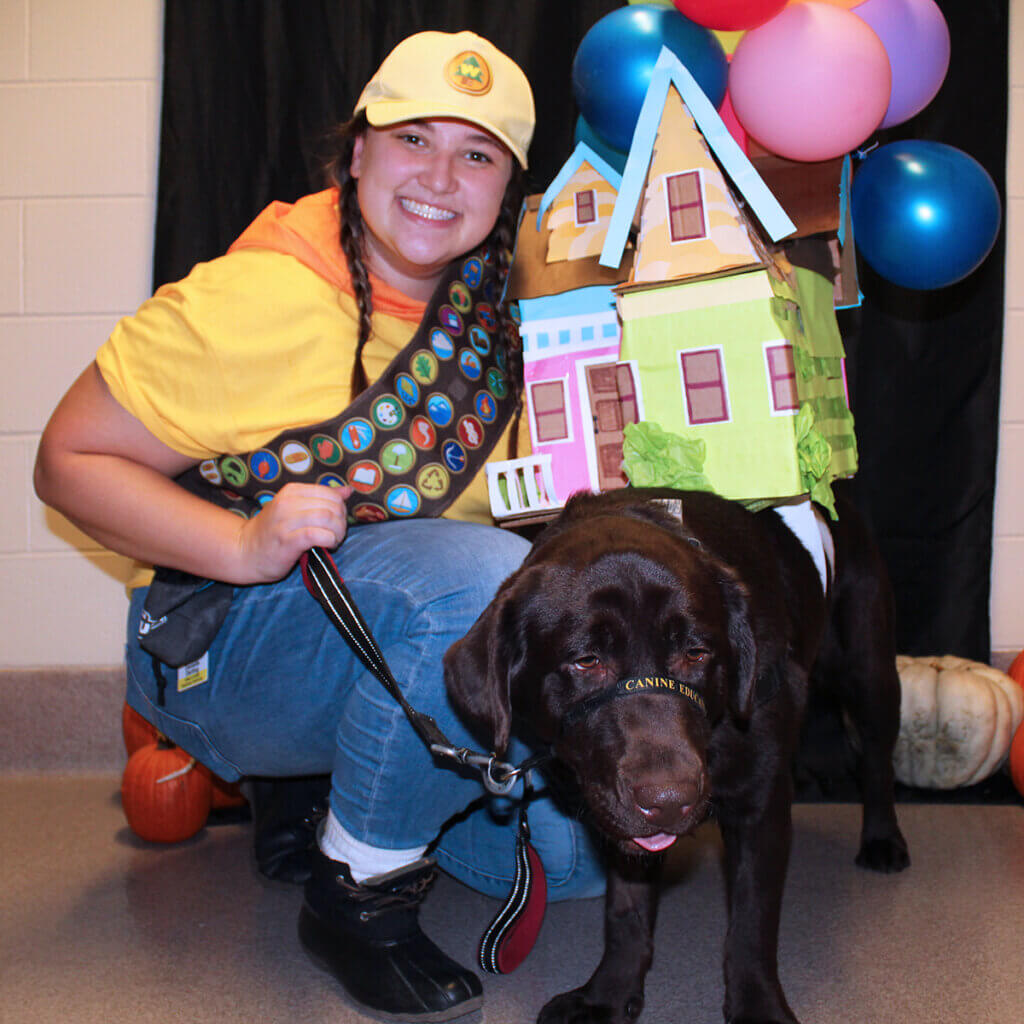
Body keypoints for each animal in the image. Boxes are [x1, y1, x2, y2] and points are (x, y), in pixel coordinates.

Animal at [444, 487, 909, 1024]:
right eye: (586, 661)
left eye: (696, 653)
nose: (669, 801)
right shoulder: (617, 819)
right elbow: (626, 912)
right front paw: (609, 995)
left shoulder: (760, 803)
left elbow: (752, 923)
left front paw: (757, 1007)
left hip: (869, 669)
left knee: (876, 760)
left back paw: (883, 840)